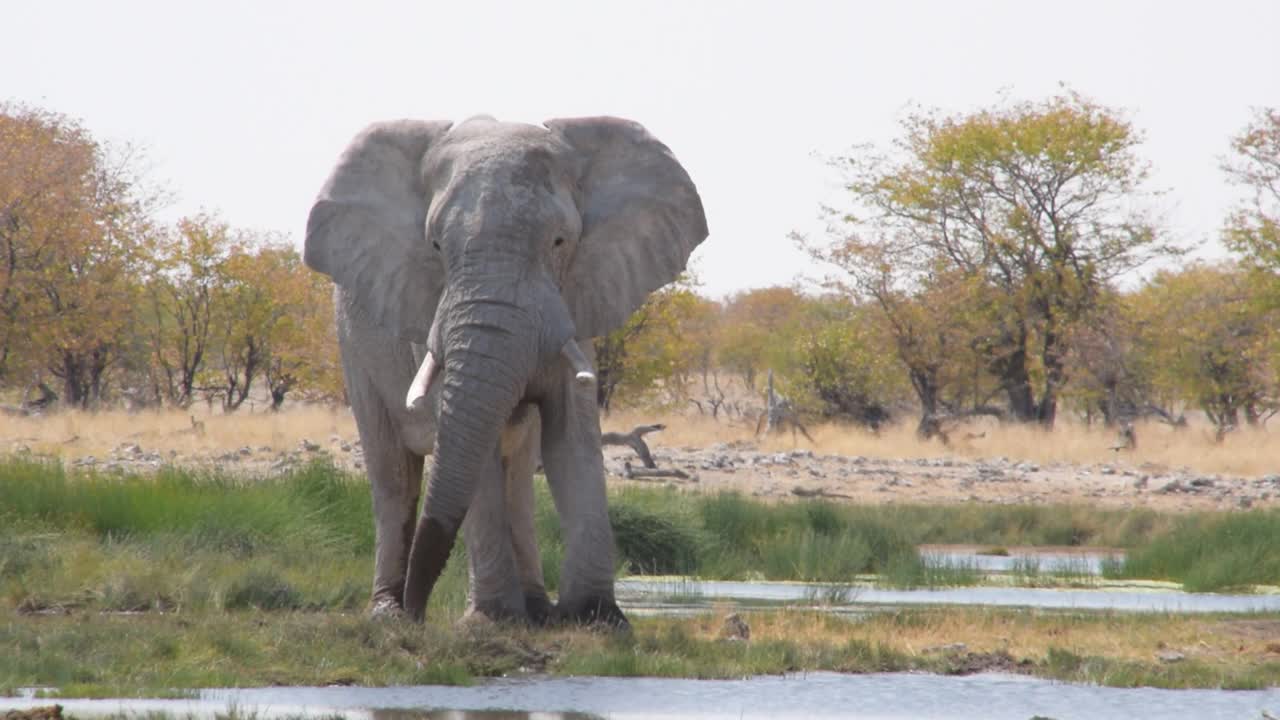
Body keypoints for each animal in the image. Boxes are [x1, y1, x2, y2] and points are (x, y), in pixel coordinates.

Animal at [305, 114, 716, 625]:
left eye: (559, 242)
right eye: (435, 245)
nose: (421, 614)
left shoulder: (576, 300)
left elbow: (571, 435)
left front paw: (598, 621)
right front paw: (492, 621)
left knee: (518, 470)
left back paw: (532, 610)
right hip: (352, 346)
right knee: (395, 475)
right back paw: (389, 614)